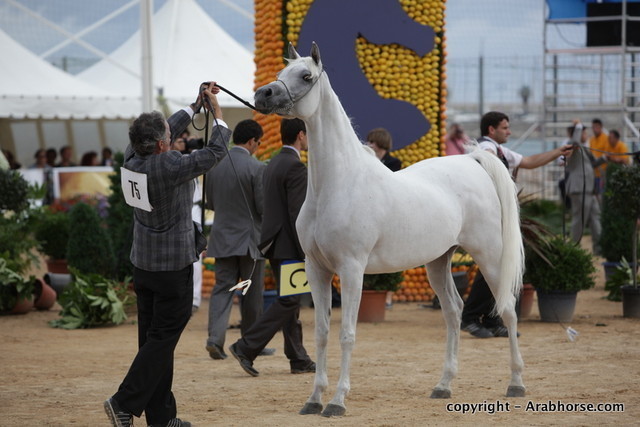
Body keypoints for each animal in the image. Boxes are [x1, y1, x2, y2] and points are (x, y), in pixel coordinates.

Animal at [254, 42, 525, 417]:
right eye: (281, 73)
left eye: (306, 76)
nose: (262, 94)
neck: (338, 183)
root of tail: (471, 160)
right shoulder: (316, 269)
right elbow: (322, 333)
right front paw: (313, 399)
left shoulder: (351, 270)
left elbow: (347, 334)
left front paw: (336, 402)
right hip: (439, 261)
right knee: (453, 312)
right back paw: (443, 385)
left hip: (489, 255)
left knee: (508, 310)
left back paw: (516, 383)